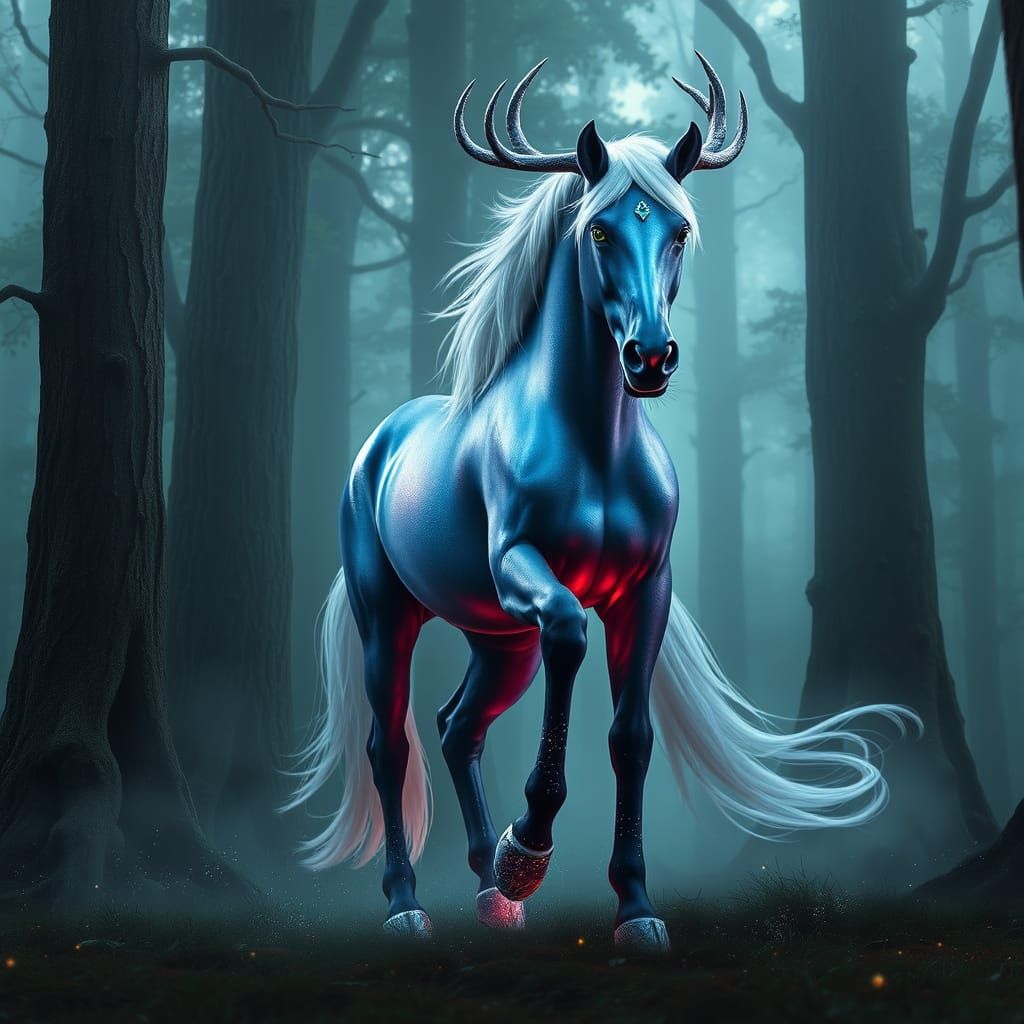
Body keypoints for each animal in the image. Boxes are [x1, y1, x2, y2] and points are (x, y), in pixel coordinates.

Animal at [284, 55, 921, 953]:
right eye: (599, 231)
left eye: (679, 230)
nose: (650, 357)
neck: (593, 449)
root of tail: (376, 447)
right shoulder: (528, 575)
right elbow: (569, 636)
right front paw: (530, 848)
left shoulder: (643, 592)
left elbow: (630, 736)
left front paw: (634, 905)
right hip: (392, 617)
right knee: (389, 742)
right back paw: (410, 903)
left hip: (497, 640)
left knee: (456, 726)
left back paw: (491, 892)